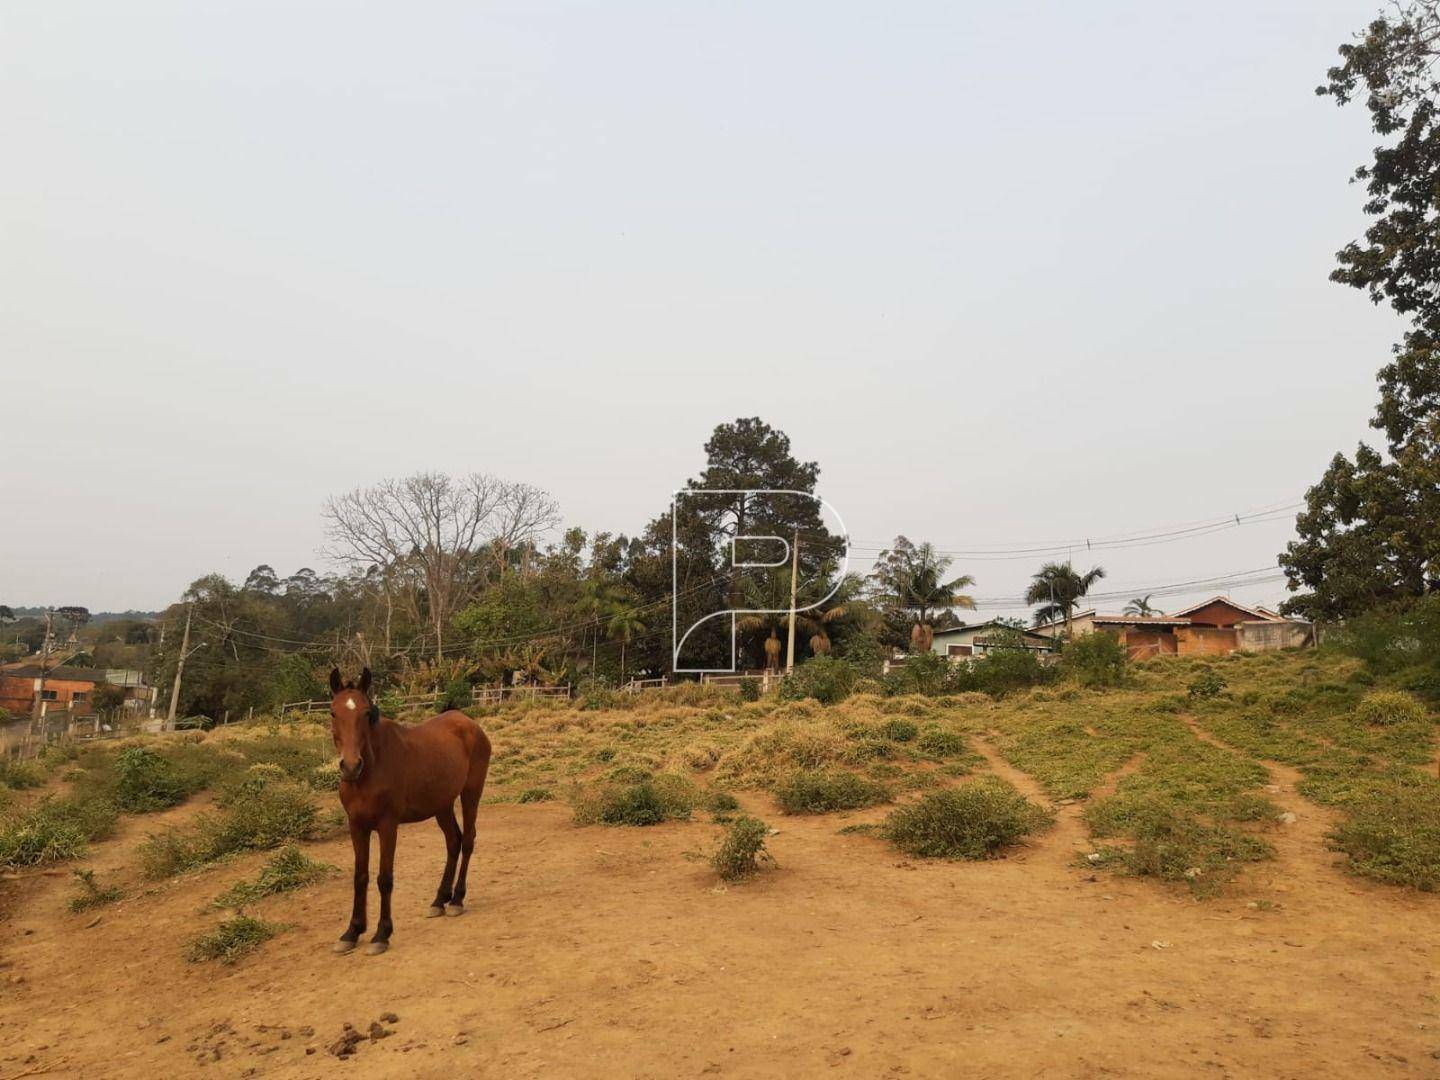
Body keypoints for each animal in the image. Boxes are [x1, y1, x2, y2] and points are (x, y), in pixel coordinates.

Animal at [325, 668, 492, 956]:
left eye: (366, 713)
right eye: (334, 712)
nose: (350, 766)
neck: (370, 770)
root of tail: (467, 723)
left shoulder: (387, 825)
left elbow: (384, 878)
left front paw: (381, 934)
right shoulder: (356, 826)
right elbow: (360, 877)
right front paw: (352, 932)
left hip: (471, 793)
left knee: (468, 840)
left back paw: (457, 900)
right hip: (442, 804)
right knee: (453, 841)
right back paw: (439, 900)